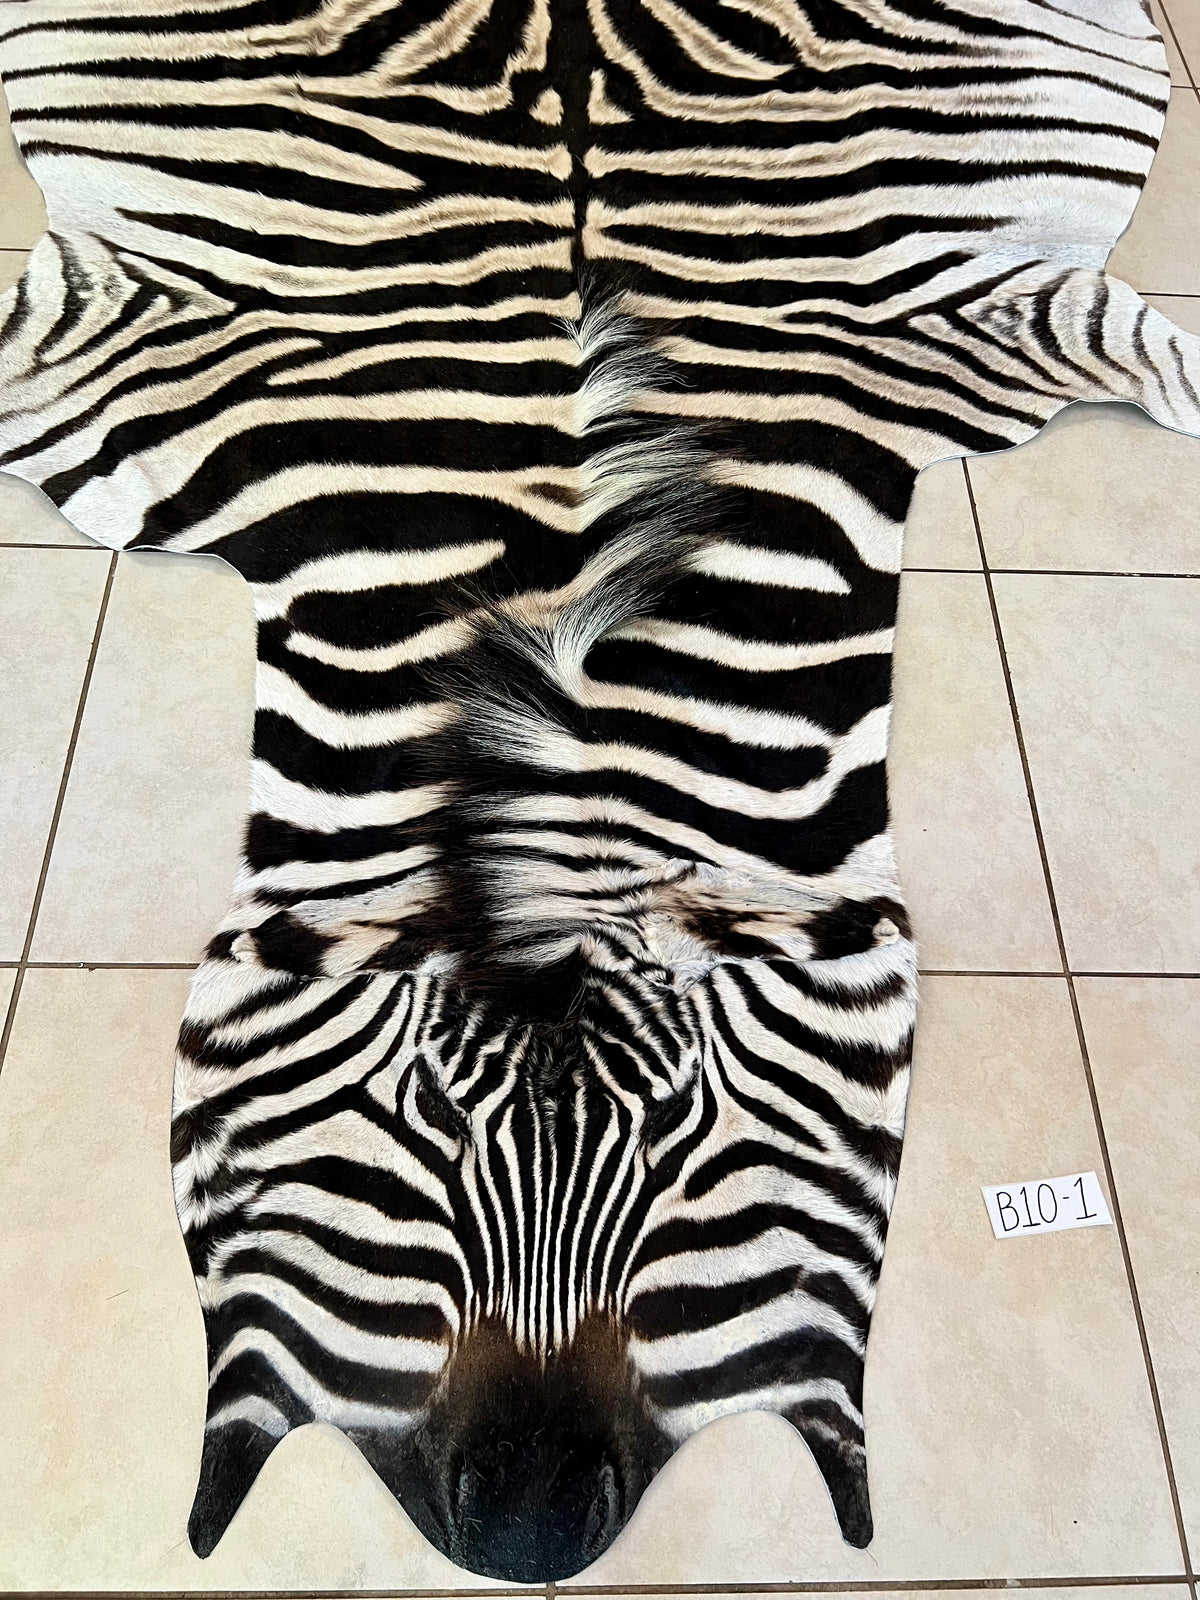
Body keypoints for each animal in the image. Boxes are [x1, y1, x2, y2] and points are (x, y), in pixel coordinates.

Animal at [0, 0, 1197, 1581]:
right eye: (428, 1128)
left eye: (682, 1142)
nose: (527, 1525)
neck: (571, 720)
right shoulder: (148, 365)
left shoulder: (959, 340)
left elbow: (1149, 348)